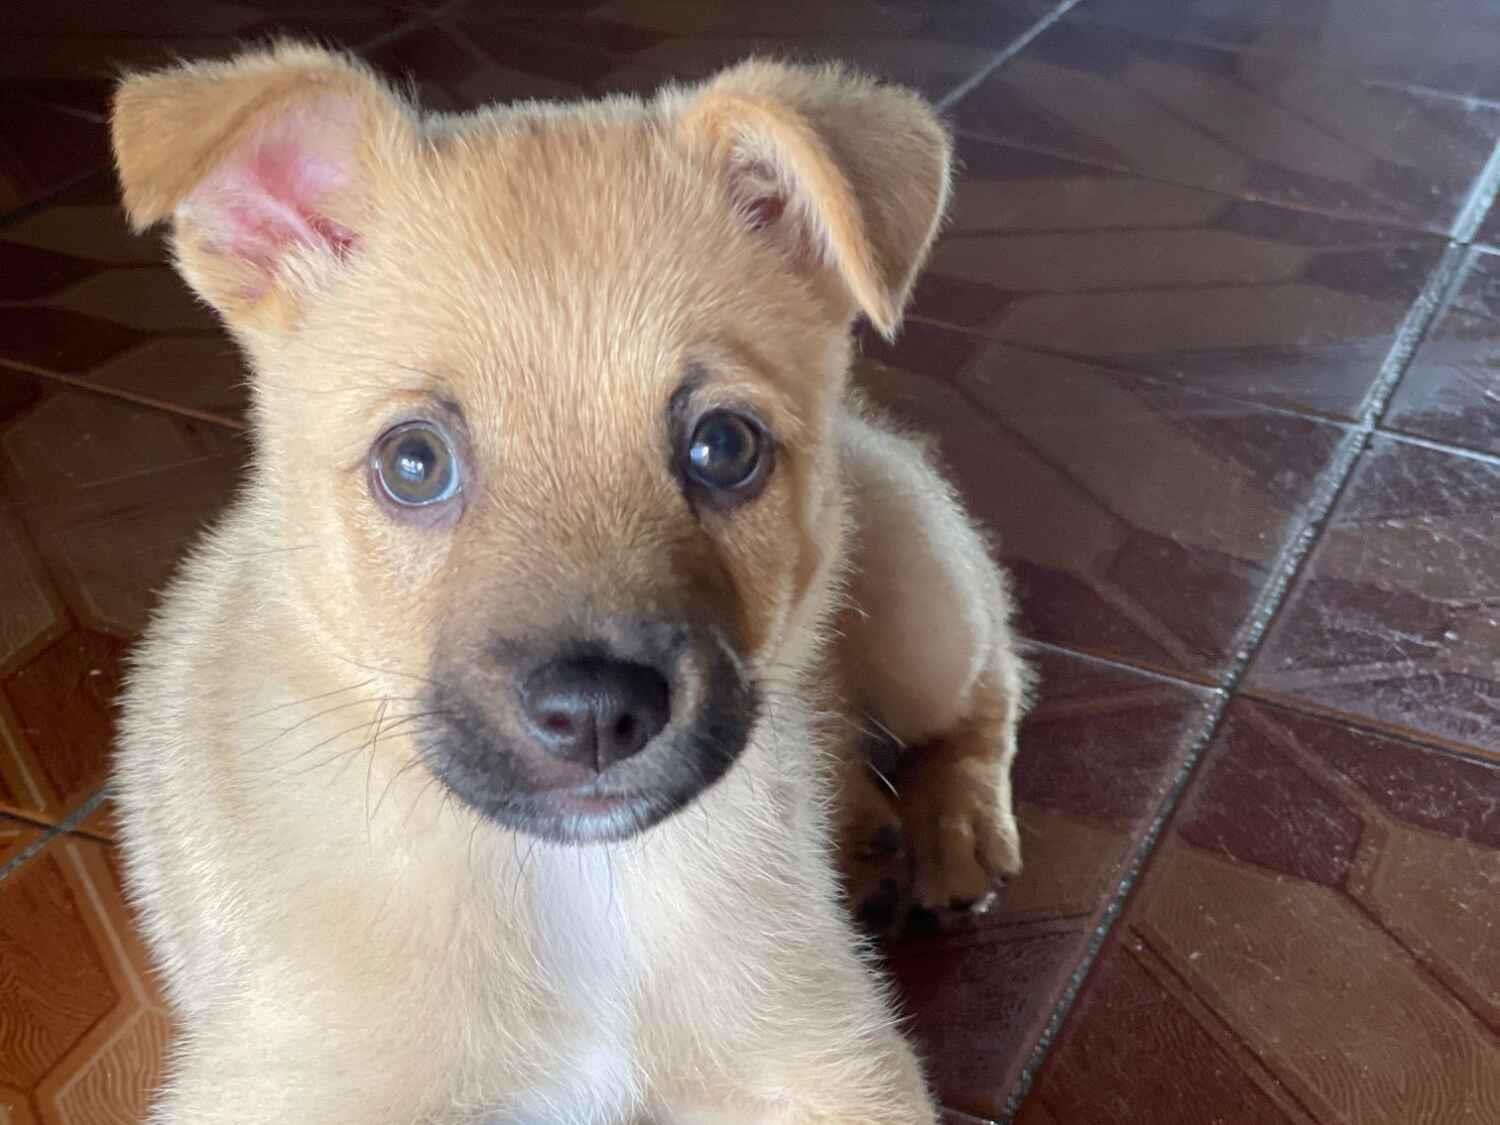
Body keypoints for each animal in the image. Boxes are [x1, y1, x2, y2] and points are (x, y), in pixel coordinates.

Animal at [109, 43, 1029, 1124]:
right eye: (413, 463)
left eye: (725, 447)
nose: (597, 714)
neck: (575, 883)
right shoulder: (281, 1080)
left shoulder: (830, 1061)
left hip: (921, 600)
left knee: (995, 679)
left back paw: (956, 826)